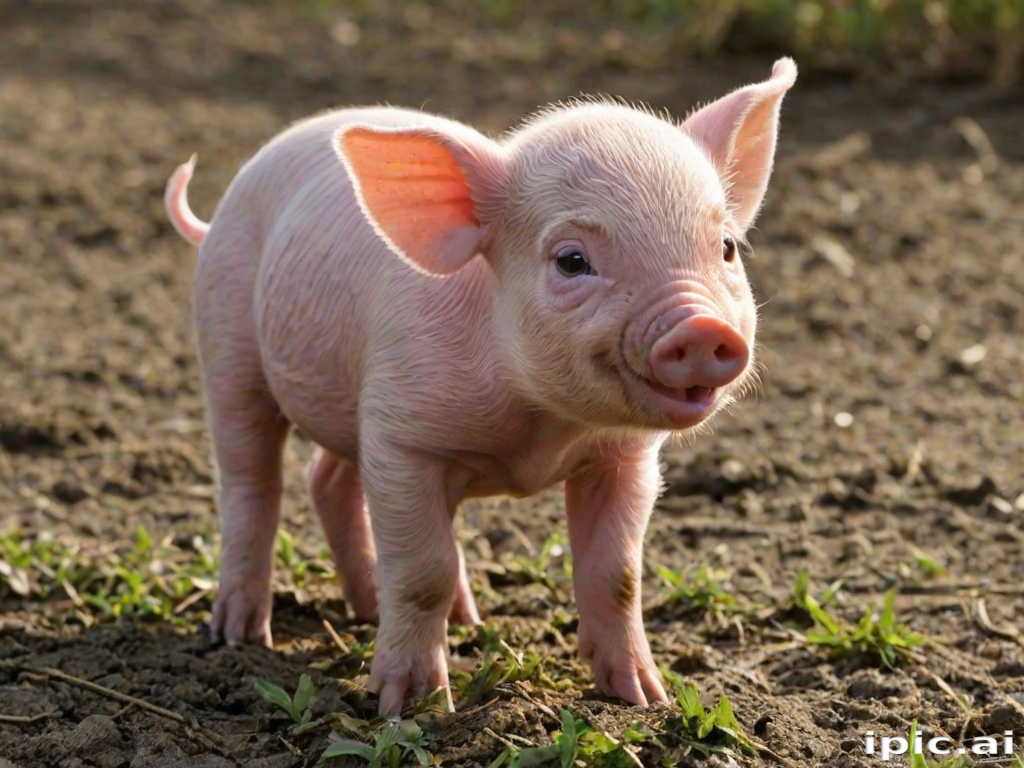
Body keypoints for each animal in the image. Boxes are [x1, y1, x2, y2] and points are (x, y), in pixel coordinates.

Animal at [164, 58, 797, 716]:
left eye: (726, 247)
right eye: (572, 260)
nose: (701, 328)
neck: (538, 429)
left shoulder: (625, 457)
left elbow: (617, 574)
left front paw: (645, 698)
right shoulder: (401, 436)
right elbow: (424, 571)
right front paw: (410, 704)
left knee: (327, 480)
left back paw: (422, 616)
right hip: (226, 342)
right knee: (251, 483)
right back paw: (239, 634)